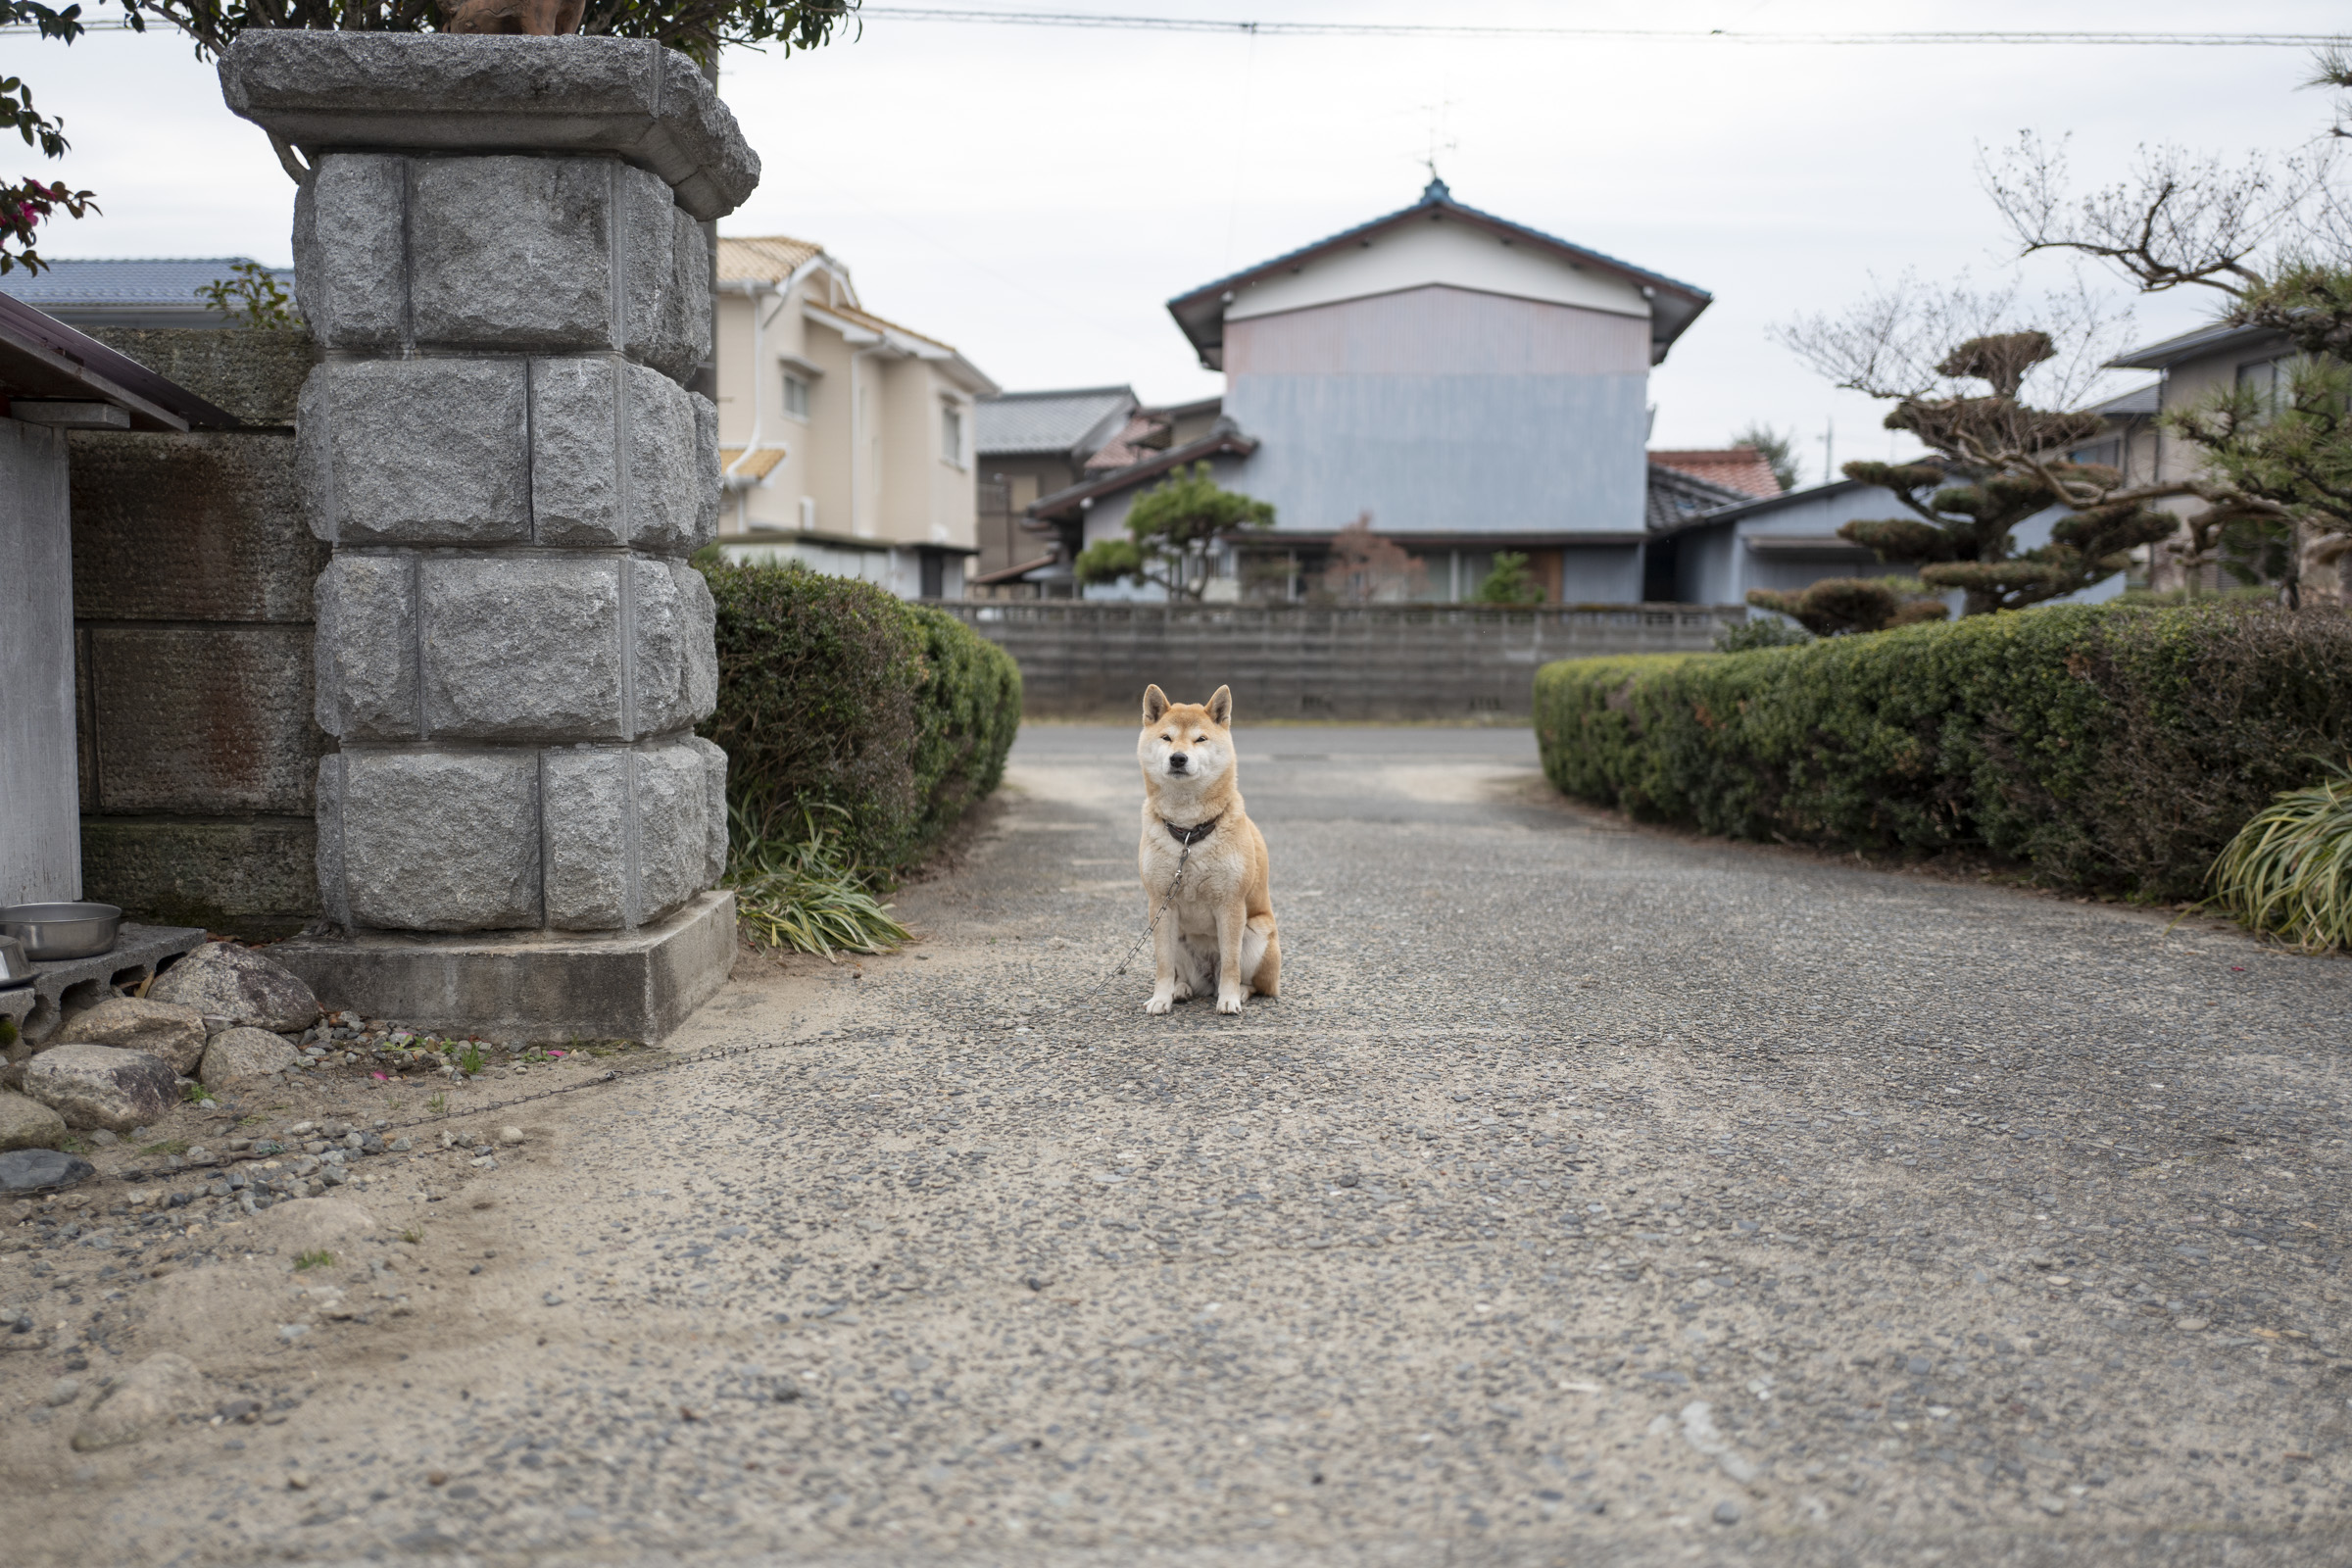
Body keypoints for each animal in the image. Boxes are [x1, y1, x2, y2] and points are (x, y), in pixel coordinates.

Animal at [1129, 686, 1279, 1020]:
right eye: (1167, 738)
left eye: (1200, 739)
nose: (1178, 757)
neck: (1188, 832)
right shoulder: (1160, 904)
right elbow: (1162, 964)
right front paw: (1161, 998)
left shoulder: (1231, 905)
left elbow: (1232, 965)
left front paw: (1230, 1000)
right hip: (1178, 937)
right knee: (1180, 974)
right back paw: (1181, 989)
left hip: (1257, 934)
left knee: (1253, 982)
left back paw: (1239, 993)